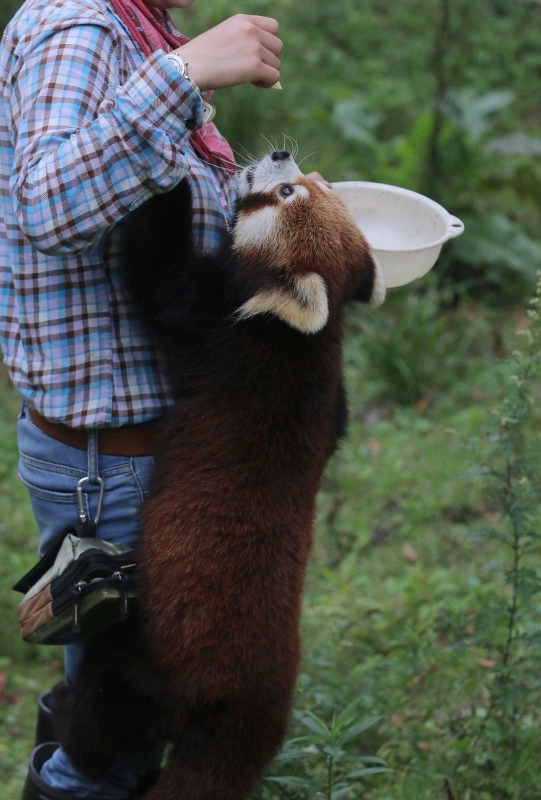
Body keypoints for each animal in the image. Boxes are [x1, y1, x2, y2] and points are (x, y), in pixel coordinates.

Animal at [53, 152, 384, 800]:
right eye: (304, 186)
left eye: (284, 194)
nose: (281, 157)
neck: (301, 333)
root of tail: (240, 707)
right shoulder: (331, 396)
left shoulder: (214, 319)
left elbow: (161, 279)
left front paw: (169, 180)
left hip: (150, 656)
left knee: (105, 707)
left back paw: (75, 729)